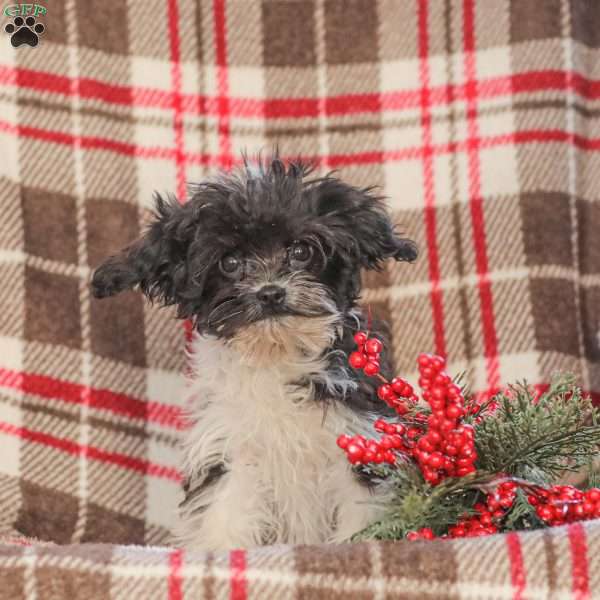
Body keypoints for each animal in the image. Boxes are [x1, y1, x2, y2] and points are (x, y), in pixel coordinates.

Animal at [91, 157, 418, 552]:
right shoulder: (228, 450)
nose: (271, 293)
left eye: (301, 251)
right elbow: (224, 518)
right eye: (229, 262)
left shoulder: (360, 445)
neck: (275, 357)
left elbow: (361, 520)